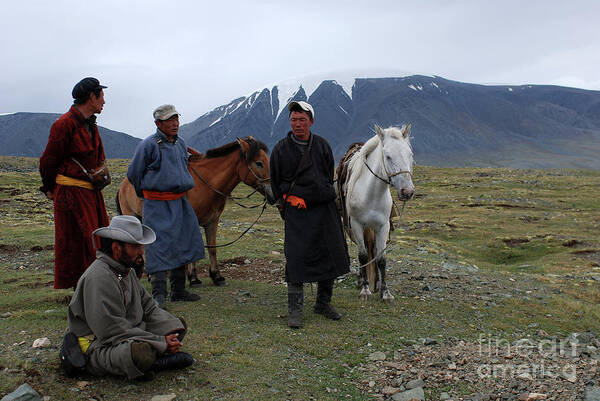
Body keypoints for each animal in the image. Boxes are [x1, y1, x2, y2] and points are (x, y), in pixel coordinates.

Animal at [117, 137, 272, 284]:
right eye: (259, 163)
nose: (273, 192)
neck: (206, 185)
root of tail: (124, 184)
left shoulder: (213, 221)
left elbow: (212, 248)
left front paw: (216, 276)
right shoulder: (192, 221)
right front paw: (193, 278)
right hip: (133, 217)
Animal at [340, 123, 414, 302]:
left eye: (410, 154)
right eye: (388, 156)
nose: (407, 192)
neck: (372, 195)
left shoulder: (383, 226)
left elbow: (381, 259)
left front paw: (385, 292)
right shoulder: (357, 225)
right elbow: (363, 256)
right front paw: (365, 290)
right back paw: (361, 281)